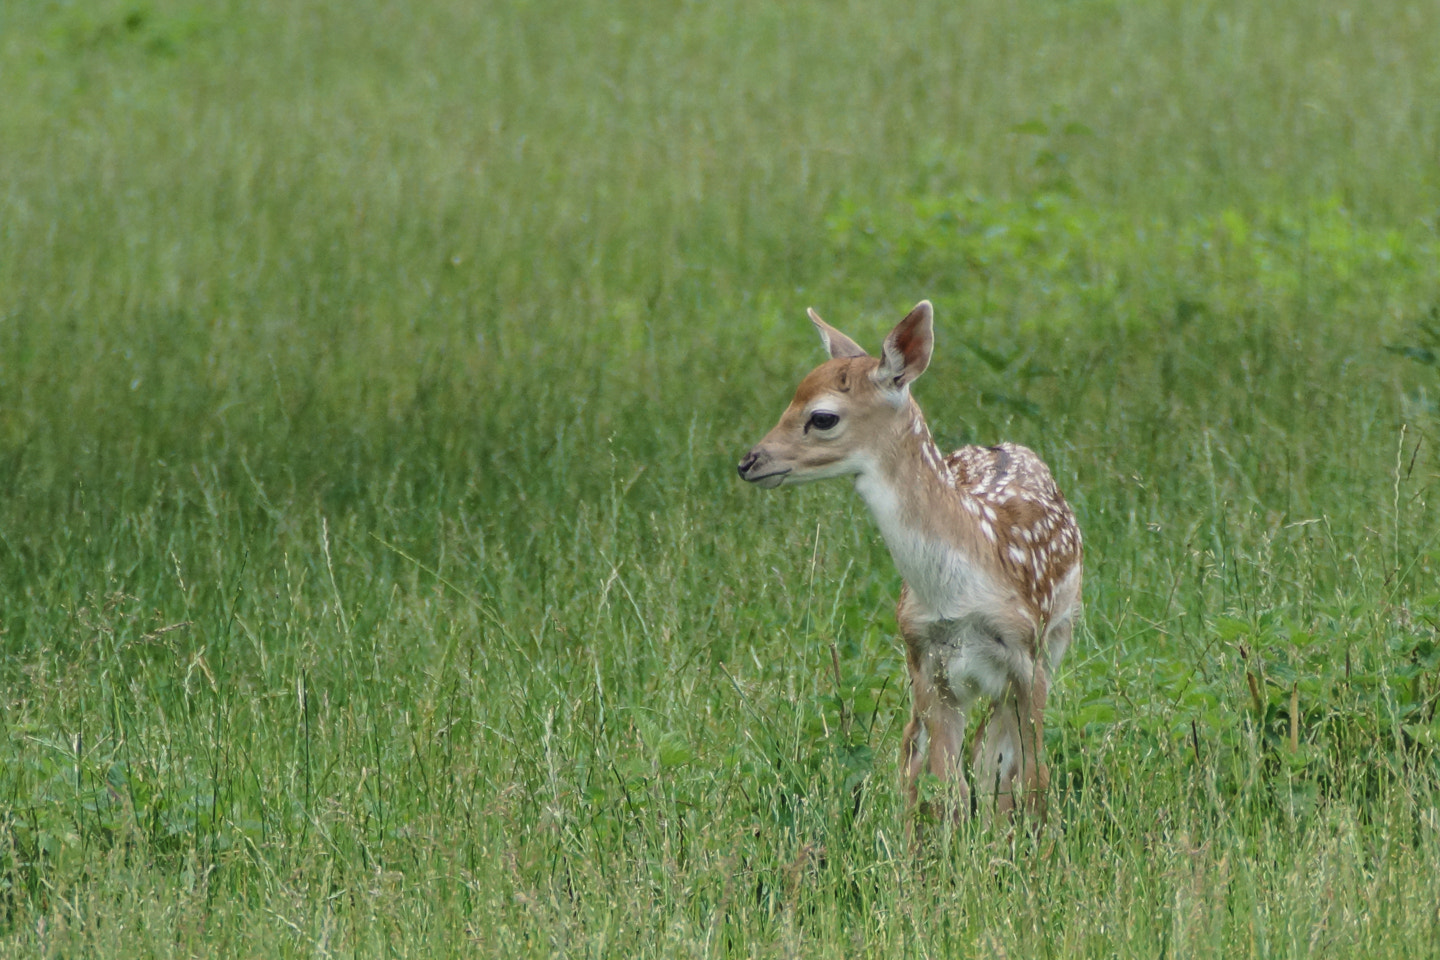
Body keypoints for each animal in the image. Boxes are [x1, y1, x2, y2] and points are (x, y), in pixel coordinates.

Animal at [743, 302, 1082, 829]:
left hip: (1055, 639)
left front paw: (1035, 843)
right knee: (924, 751)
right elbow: (944, 787)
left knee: (998, 755)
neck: (956, 592)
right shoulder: (928, 660)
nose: (749, 461)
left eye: (822, 417)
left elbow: (1031, 776)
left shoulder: (1027, 656)